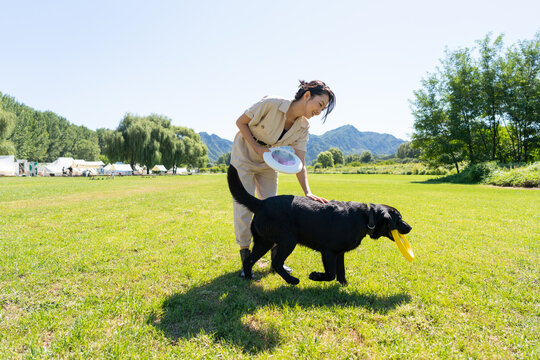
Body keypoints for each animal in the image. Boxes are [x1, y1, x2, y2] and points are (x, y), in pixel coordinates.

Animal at [226, 165, 412, 286]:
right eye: (399, 218)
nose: (410, 228)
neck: (366, 217)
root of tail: (261, 203)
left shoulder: (339, 253)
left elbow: (341, 272)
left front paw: (344, 285)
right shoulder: (328, 252)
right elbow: (331, 274)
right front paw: (316, 276)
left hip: (264, 242)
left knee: (249, 260)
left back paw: (249, 279)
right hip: (288, 241)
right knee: (276, 262)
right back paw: (292, 281)